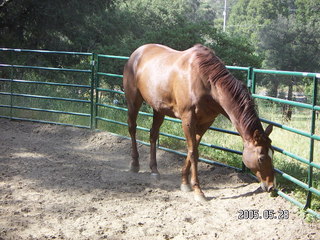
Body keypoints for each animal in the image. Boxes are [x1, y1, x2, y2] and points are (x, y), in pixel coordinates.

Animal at [122, 44, 276, 202]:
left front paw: (184, 182)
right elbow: (193, 152)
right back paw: (134, 164)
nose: (271, 186)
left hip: (159, 109)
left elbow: (193, 149)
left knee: (153, 134)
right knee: (132, 128)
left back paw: (154, 170)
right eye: (261, 157)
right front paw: (198, 190)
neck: (207, 83)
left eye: (273, 153)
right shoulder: (188, 120)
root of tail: (137, 53)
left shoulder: (205, 122)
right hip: (133, 101)